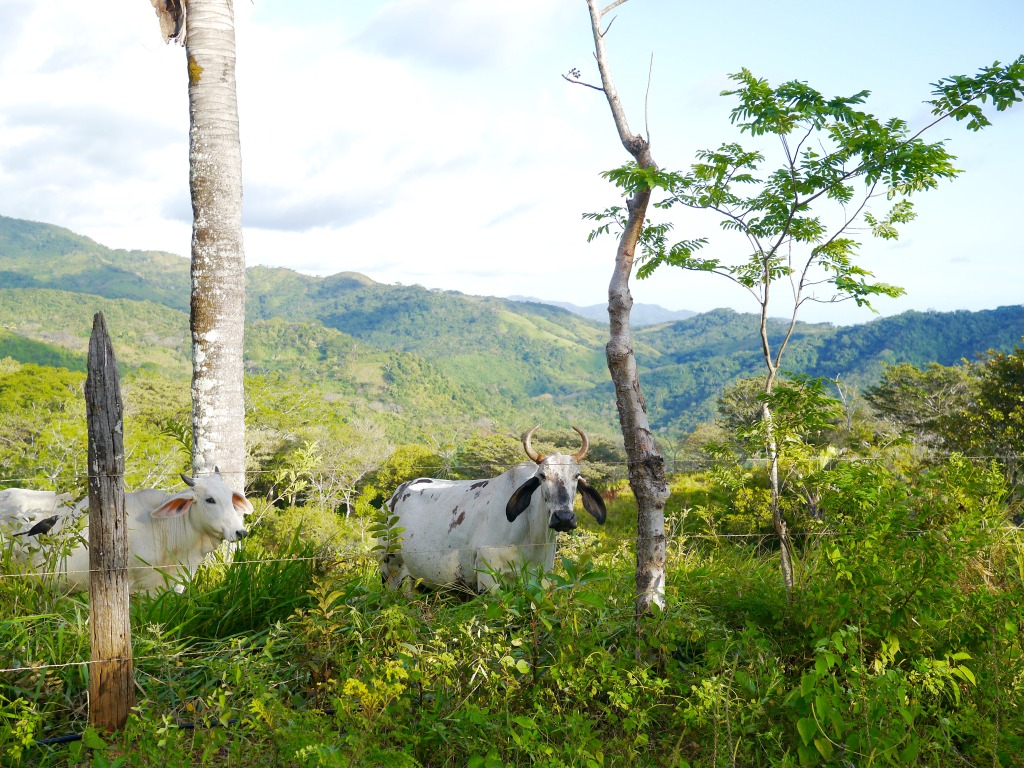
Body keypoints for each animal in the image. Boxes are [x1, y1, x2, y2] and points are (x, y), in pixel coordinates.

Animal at [382, 428, 606, 593]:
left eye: (577, 476)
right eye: (542, 476)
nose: (564, 518)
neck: (532, 536)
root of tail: (395, 494)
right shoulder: (487, 576)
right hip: (390, 568)